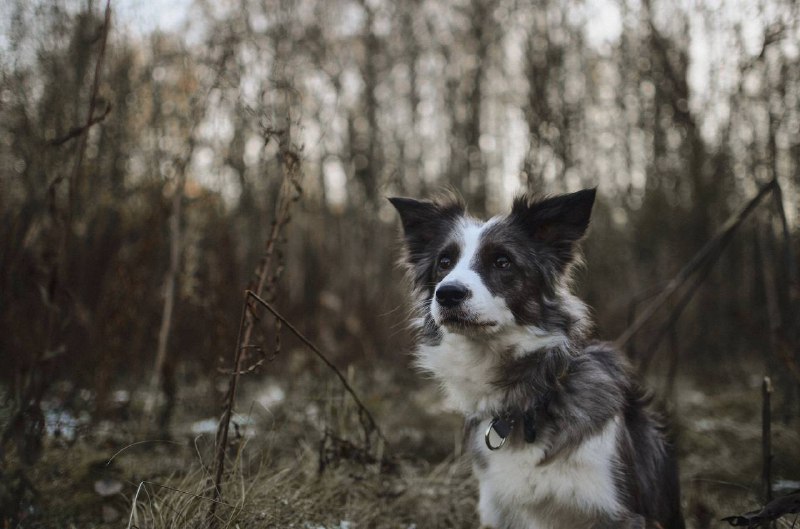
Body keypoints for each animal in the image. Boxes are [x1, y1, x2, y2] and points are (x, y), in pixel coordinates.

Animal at [390, 189, 684, 528]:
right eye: (444, 262)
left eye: (502, 261)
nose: (448, 293)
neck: (531, 399)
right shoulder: (499, 511)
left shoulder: (621, 514)